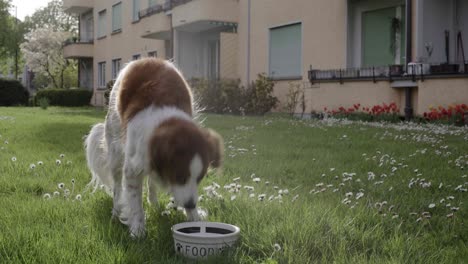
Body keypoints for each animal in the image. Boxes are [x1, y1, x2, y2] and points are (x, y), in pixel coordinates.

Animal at [85, 57, 223, 237]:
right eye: (179, 177)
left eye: (200, 178)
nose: (191, 204)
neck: (166, 120)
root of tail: (148, 59)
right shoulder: (133, 167)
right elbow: (135, 203)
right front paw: (138, 230)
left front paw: (195, 219)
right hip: (115, 147)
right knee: (117, 187)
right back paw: (115, 213)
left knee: (150, 182)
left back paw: (155, 204)